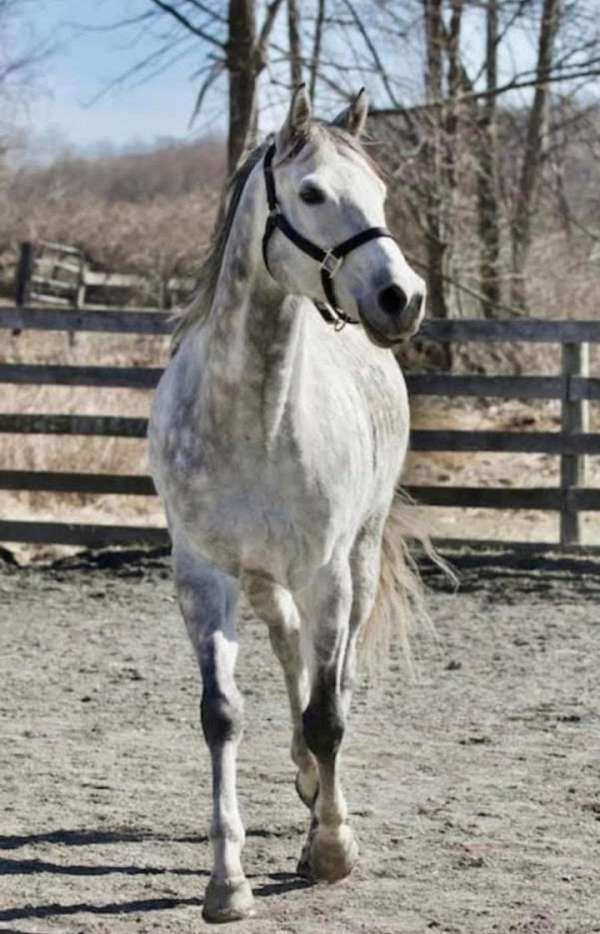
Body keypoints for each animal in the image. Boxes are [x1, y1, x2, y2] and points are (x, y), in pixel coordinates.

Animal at [148, 85, 426, 923]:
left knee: (337, 676)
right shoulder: (203, 575)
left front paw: (332, 850)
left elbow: (330, 713)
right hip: (266, 581)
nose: (402, 299)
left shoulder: (327, 573)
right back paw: (302, 775)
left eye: (379, 194)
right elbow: (223, 714)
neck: (255, 416)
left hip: (356, 561)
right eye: (311, 194)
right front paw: (226, 884)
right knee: (291, 649)